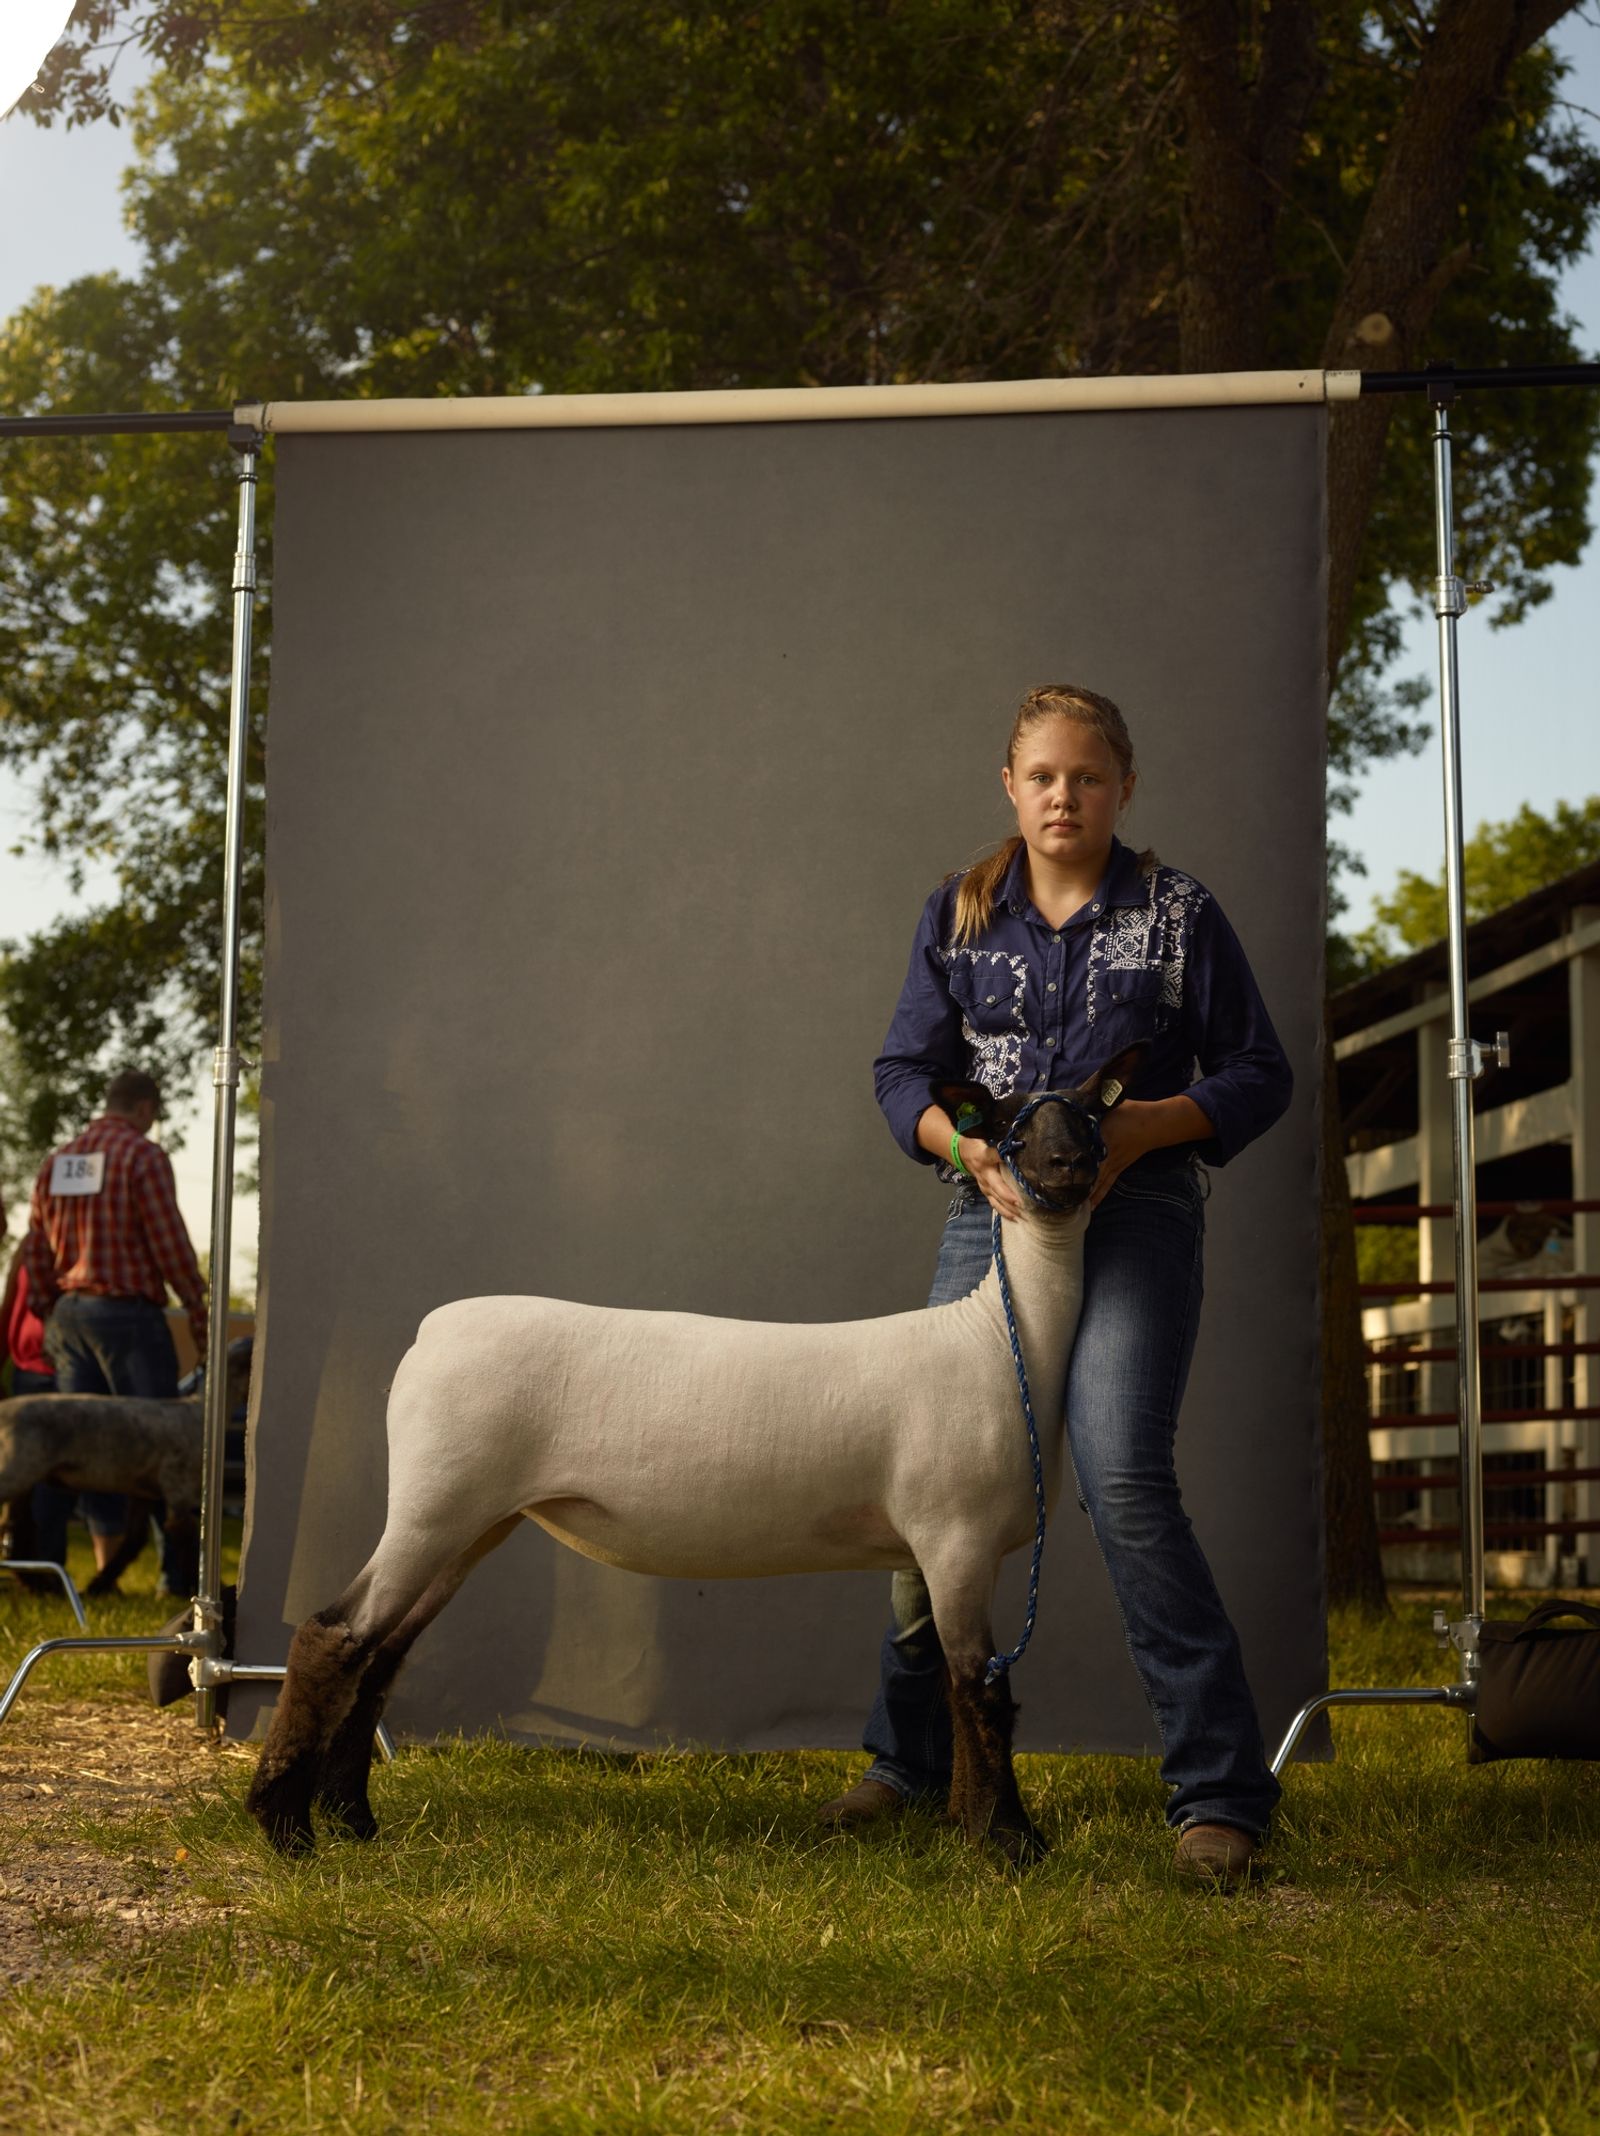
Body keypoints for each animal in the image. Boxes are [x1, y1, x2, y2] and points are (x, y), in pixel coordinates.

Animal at [243, 1059, 1127, 1862]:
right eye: (1010, 1123)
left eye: (1090, 1113)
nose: (1066, 1168)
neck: (998, 1345)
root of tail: (431, 1333)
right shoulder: (956, 1538)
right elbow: (983, 1690)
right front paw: (1012, 1843)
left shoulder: (958, 1551)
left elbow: (959, 1685)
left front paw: (973, 1829)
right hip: (435, 1502)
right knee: (332, 1635)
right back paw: (286, 1829)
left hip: (472, 1521)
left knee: (381, 1654)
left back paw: (353, 1821)